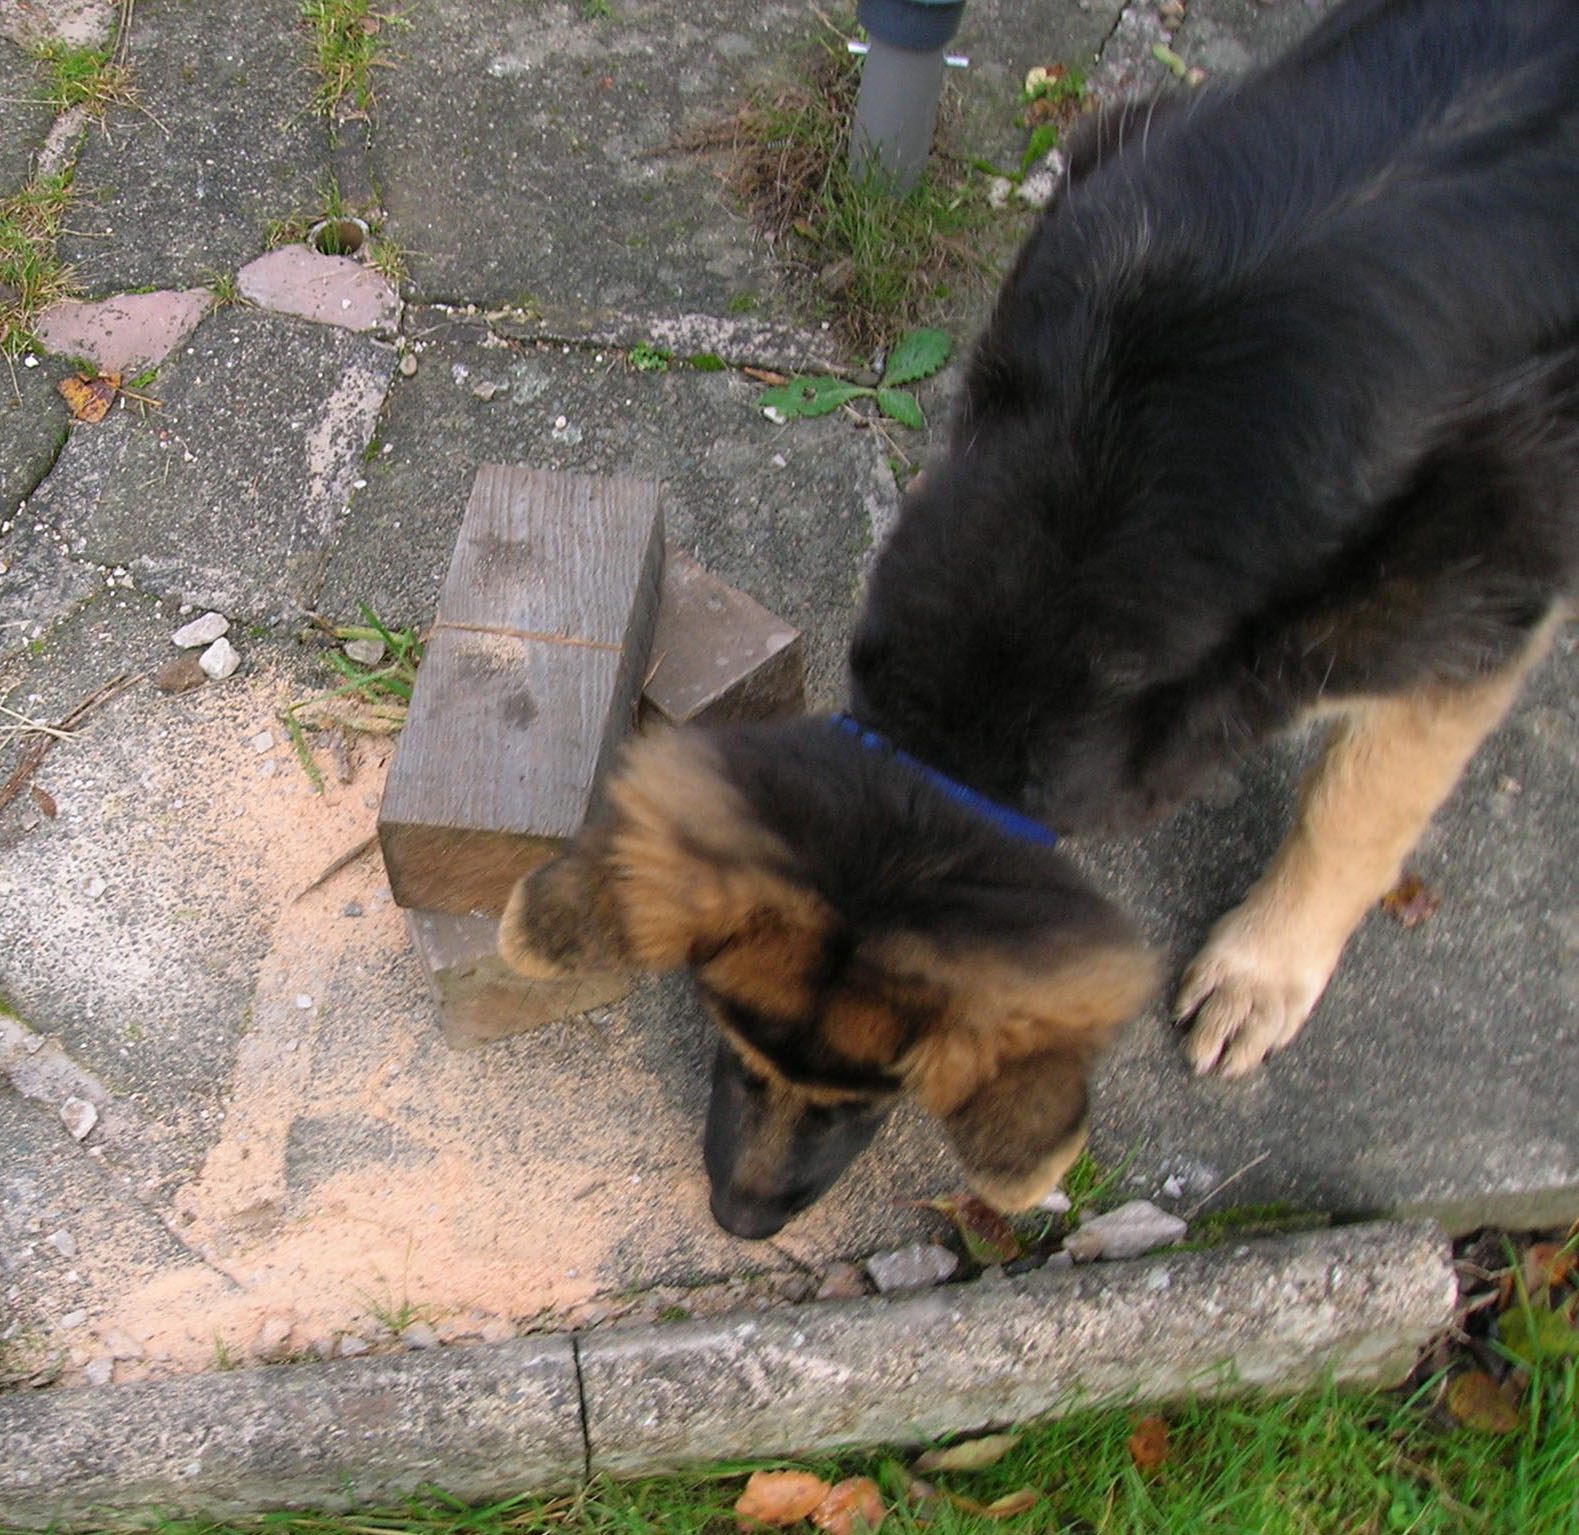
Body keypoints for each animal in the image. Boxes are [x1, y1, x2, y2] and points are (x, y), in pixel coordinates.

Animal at [502, 0, 1579, 1238]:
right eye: (735, 1038)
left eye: (881, 1091)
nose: (739, 1218)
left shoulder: (1472, 596)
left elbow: (1359, 802)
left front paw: (1263, 968)